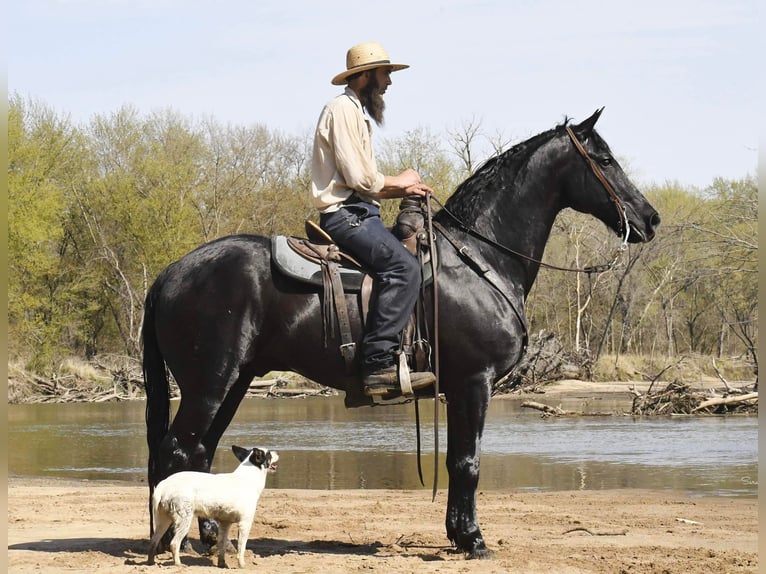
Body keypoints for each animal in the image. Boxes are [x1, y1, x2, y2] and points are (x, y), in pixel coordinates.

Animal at [147, 448, 280, 568]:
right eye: (269, 454)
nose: (277, 452)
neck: (249, 477)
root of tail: (163, 485)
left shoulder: (225, 524)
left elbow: (222, 545)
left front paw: (222, 564)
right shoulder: (245, 523)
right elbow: (241, 547)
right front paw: (242, 565)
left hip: (163, 521)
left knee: (153, 541)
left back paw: (151, 562)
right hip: (184, 520)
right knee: (174, 543)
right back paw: (178, 564)